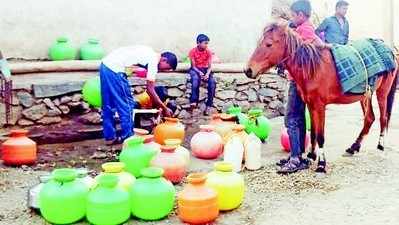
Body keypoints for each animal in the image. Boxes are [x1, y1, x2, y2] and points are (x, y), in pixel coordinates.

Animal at [245, 22, 398, 172]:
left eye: (269, 44)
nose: (248, 70)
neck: (313, 68)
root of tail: (391, 51)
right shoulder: (310, 105)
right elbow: (313, 132)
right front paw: (311, 155)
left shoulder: (320, 107)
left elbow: (320, 136)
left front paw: (321, 164)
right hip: (365, 96)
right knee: (369, 118)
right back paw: (354, 147)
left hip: (382, 93)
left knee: (383, 118)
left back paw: (380, 145)